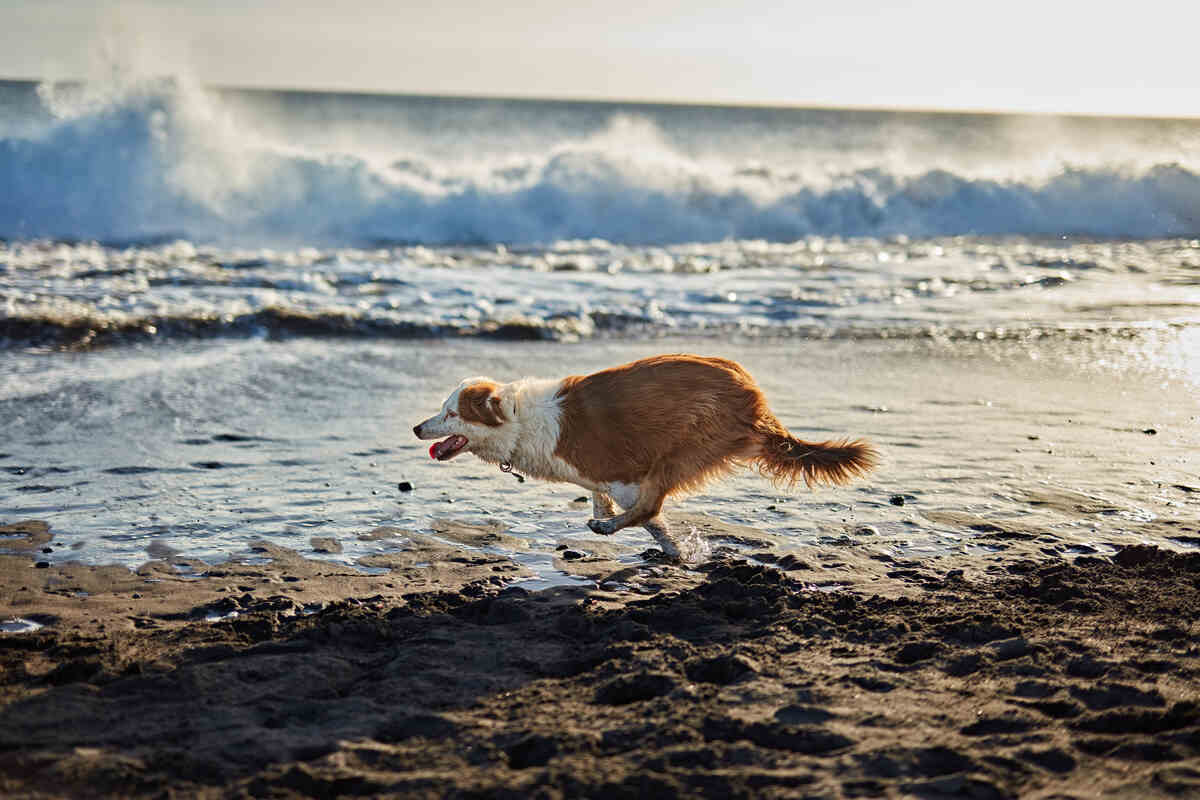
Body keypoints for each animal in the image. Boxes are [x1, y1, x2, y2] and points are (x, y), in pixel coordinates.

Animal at [410, 352, 873, 561]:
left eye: (451, 414)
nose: (416, 429)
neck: (519, 419)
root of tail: (755, 397)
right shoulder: (600, 479)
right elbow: (625, 508)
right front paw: (677, 553)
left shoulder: (624, 476)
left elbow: (648, 512)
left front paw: (661, 544)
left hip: (684, 447)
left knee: (652, 502)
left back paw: (607, 529)